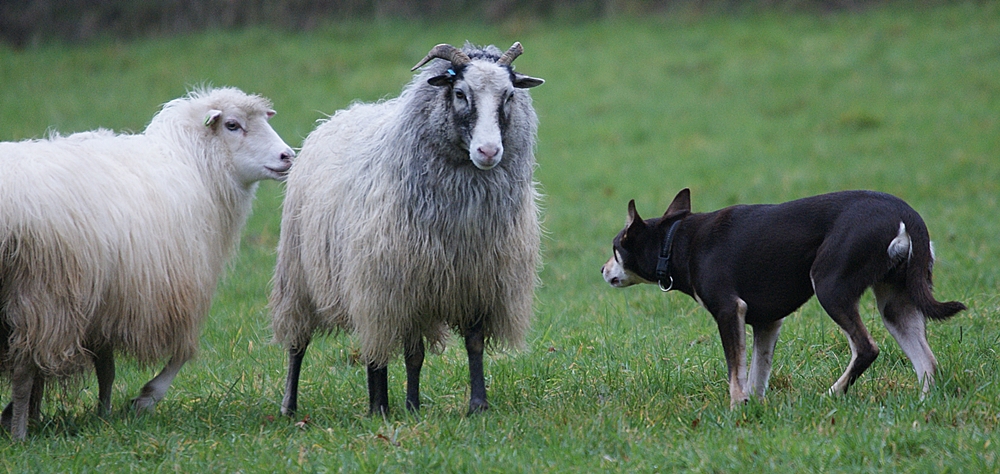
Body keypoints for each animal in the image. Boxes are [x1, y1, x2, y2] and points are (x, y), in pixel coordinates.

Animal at [0, 86, 294, 440]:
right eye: (233, 125)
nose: (288, 156)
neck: (193, 163)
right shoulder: (173, 289)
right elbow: (183, 352)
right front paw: (145, 398)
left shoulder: (108, 301)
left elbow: (107, 368)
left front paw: (104, 414)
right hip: (41, 293)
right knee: (22, 371)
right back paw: (19, 433)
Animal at [270, 42, 544, 416]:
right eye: (460, 93)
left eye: (509, 95)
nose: (488, 151)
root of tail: (338, 116)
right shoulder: (398, 285)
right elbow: (405, 351)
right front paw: (392, 406)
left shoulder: (476, 281)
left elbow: (463, 347)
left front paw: (473, 404)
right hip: (303, 276)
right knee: (307, 344)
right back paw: (302, 406)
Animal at [604, 189, 964, 408]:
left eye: (615, 248)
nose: (602, 269)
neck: (674, 240)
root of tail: (905, 215)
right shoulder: (766, 323)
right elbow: (757, 374)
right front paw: (752, 407)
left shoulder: (729, 311)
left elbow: (736, 371)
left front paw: (735, 407)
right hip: (897, 304)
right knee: (927, 362)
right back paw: (922, 406)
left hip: (830, 286)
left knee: (867, 348)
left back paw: (831, 394)